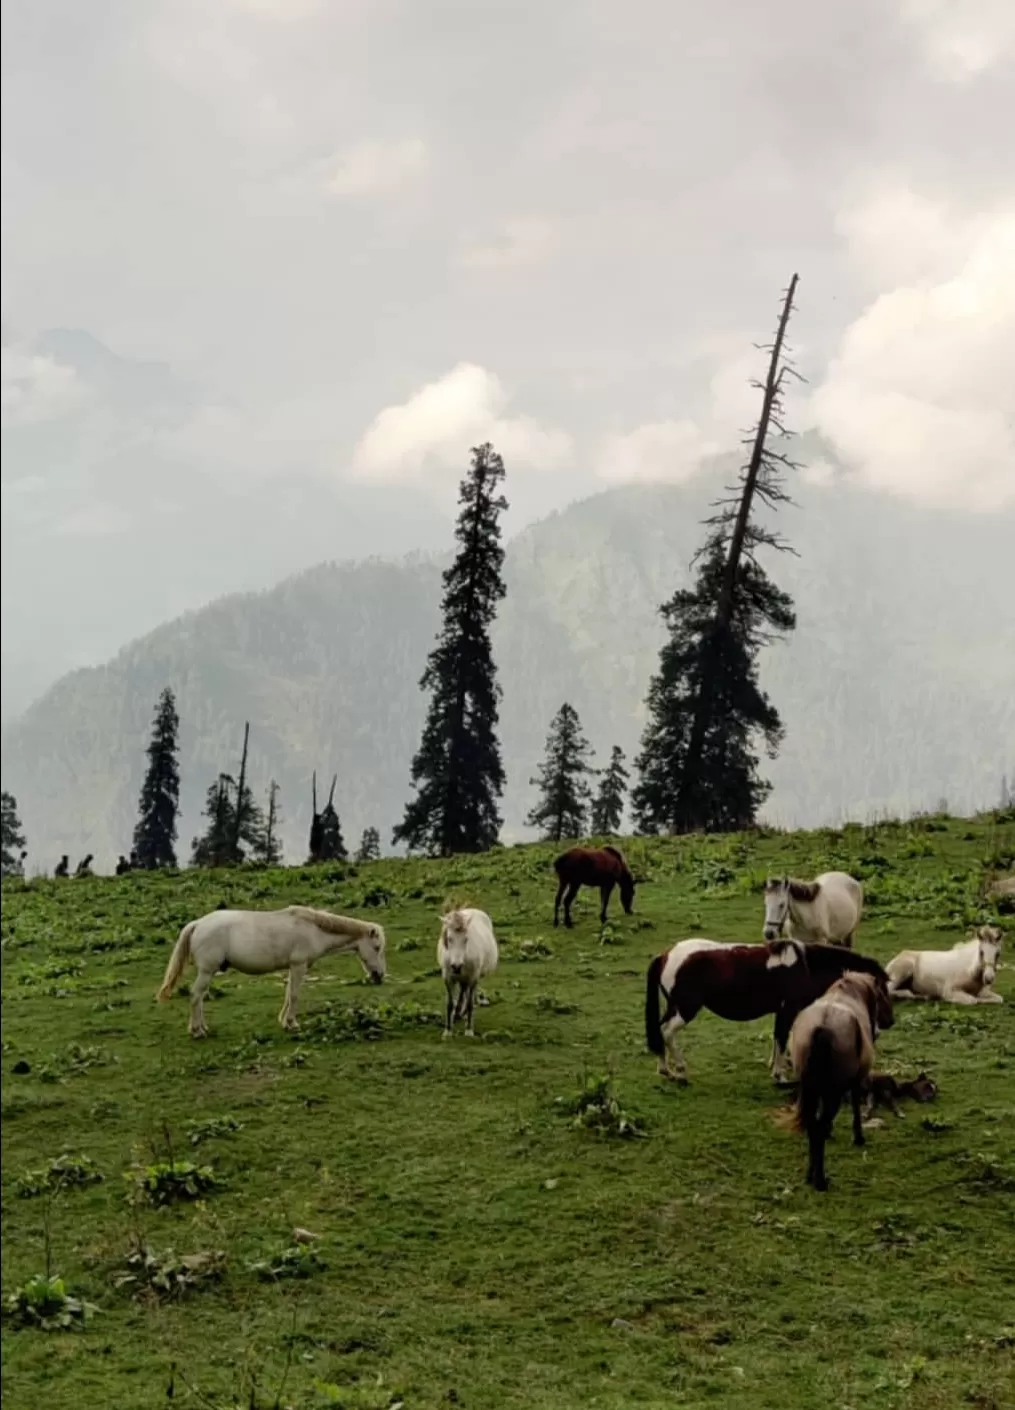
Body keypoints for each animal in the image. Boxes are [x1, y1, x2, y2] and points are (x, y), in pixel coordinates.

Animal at [156, 902, 386, 1037]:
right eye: (377, 947)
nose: (379, 976)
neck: (313, 929)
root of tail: (197, 924)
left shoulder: (293, 968)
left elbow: (288, 994)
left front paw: (285, 1022)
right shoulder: (299, 966)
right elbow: (294, 995)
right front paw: (292, 1023)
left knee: (200, 997)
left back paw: (202, 1027)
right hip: (206, 971)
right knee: (196, 996)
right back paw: (197, 1031)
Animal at [437, 908, 496, 1043]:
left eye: (466, 939)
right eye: (449, 938)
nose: (456, 966)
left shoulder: (473, 977)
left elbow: (469, 1004)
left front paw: (469, 1030)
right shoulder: (448, 978)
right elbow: (450, 1004)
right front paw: (448, 1031)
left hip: (474, 977)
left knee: (468, 993)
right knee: (463, 990)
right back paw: (458, 1013)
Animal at [645, 941, 890, 1082]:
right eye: (881, 991)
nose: (889, 1021)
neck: (806, 967)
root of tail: (666, 955)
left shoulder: (782, 1012)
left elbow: (777, 1038)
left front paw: (774, 1065)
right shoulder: (788, 1009)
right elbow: (781, 1038)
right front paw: (779, 1074)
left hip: (674, 1007)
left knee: (659, 1031)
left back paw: (664, 1069)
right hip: (686, 1008)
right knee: (667, 1033)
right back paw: (680, 1069)